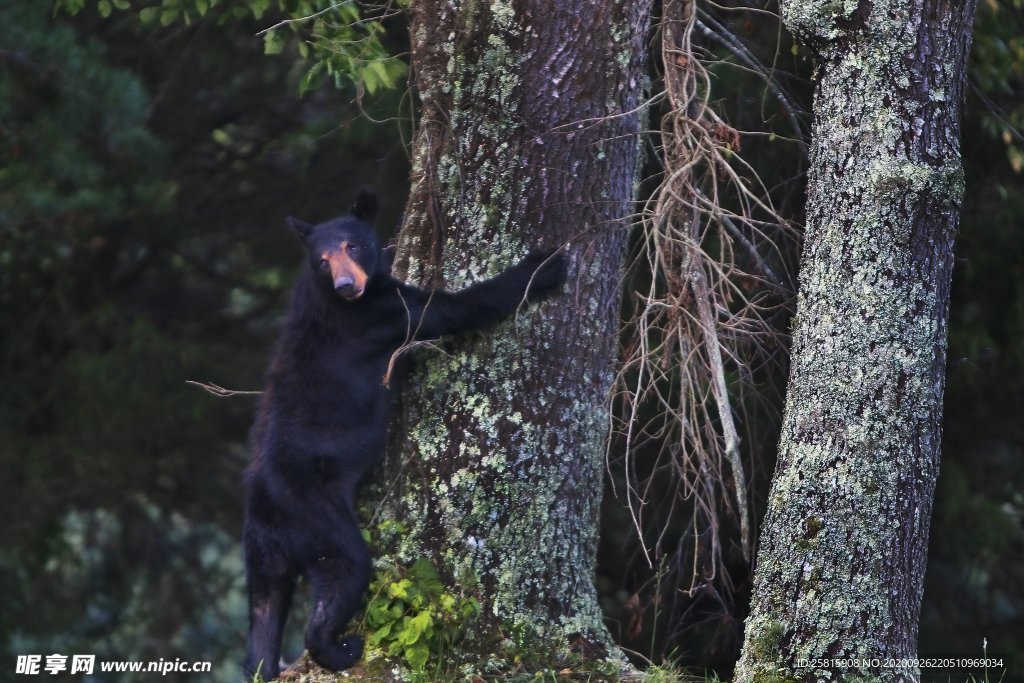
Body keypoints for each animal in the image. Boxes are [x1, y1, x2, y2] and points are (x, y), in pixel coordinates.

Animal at [240, 189, 569, 679]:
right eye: (323, 260)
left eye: (353, 245)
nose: (346, 285)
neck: (329, 296)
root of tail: (265, 504)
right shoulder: (381, 314)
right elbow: (452, 308)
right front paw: (544, 265)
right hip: (314, 512)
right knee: (345, 568)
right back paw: (340, 648)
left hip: (260, 552)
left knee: (263, 610)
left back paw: (266, 661)